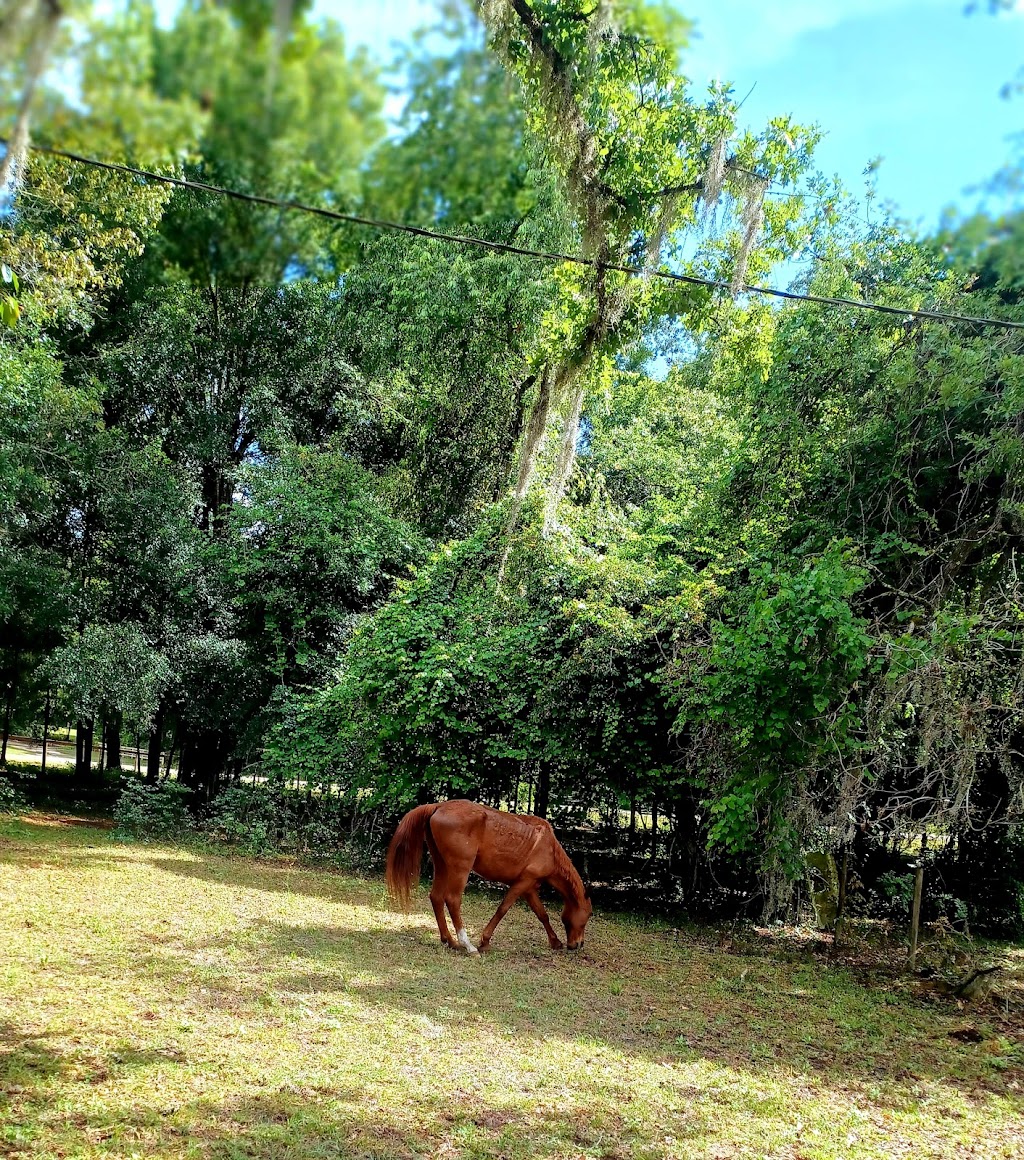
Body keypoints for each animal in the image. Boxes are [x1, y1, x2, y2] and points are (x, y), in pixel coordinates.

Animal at [385, 802, 593, 955]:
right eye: (589, 914)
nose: (578, 944)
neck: (549, 848)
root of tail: (438, 806)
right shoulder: (523, 883)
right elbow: (503, 909)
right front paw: (484, 941)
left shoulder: (529, 887)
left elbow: (542, 914)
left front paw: (555, 942)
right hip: (460, 869)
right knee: (452, 900)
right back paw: (467, 945)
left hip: (442, 865)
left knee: (436, 897)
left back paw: (450, 941)